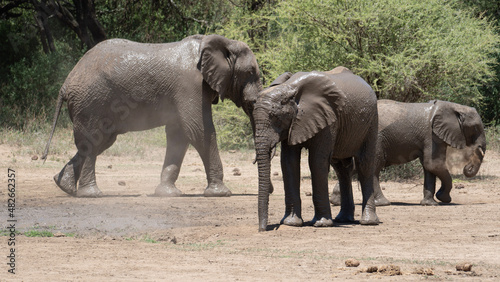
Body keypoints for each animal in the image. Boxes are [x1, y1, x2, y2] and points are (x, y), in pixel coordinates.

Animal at [41, 35, 264, 197]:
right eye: (251, 72)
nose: (253, 161)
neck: (220, 42)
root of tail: (66, 83)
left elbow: (179, 135)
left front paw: (168, 194)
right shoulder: (190, 86)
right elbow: (199, 130)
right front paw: (221, 193)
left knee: (100, 141)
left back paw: (64, 186)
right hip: (90, 101)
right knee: (92, 142)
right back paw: (91, 194)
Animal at [254, 70, 378, 231]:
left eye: (275, 118)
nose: (262, 229)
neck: (290, 87)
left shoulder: (328, 119)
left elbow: (317, 161)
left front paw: (322, 224)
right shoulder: (293, 124)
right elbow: (289, 162)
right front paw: (291, 223)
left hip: (371, 121)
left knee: (365, 165)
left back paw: (369, 221)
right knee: (342, 169)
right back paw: (343, 219)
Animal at [330, 100, 486, 206]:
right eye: (476, 128)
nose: (467, 167)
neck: (453, 107)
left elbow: (429, 167)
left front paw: (430, 204)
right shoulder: (432, 135)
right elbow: (433, 164)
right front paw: (444, 199)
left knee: (355, 167)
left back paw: (336, 202)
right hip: (376, 139)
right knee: (373, 169)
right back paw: (383, 203)